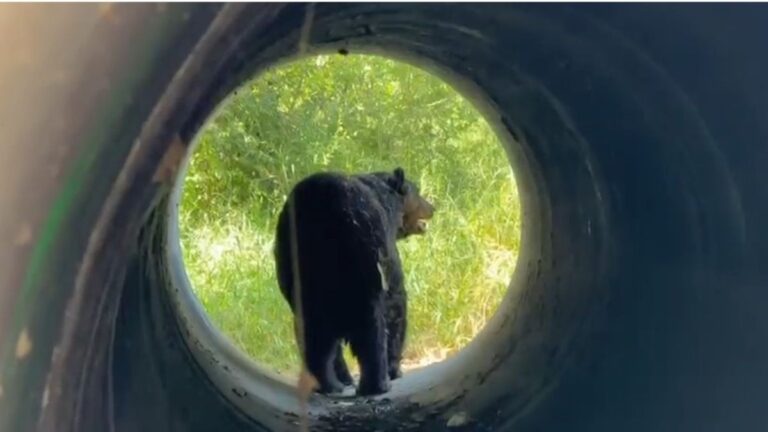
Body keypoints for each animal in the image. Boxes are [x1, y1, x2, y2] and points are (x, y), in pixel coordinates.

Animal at [274, 167, 434, 396]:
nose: (432, 207)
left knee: (314, 335)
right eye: (417, 191)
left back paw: (329, 383)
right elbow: (396, 300)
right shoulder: (386, 250)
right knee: (371, 327)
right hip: (363, 258)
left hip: (297, 269)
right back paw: (376, 383)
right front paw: (395, 369)